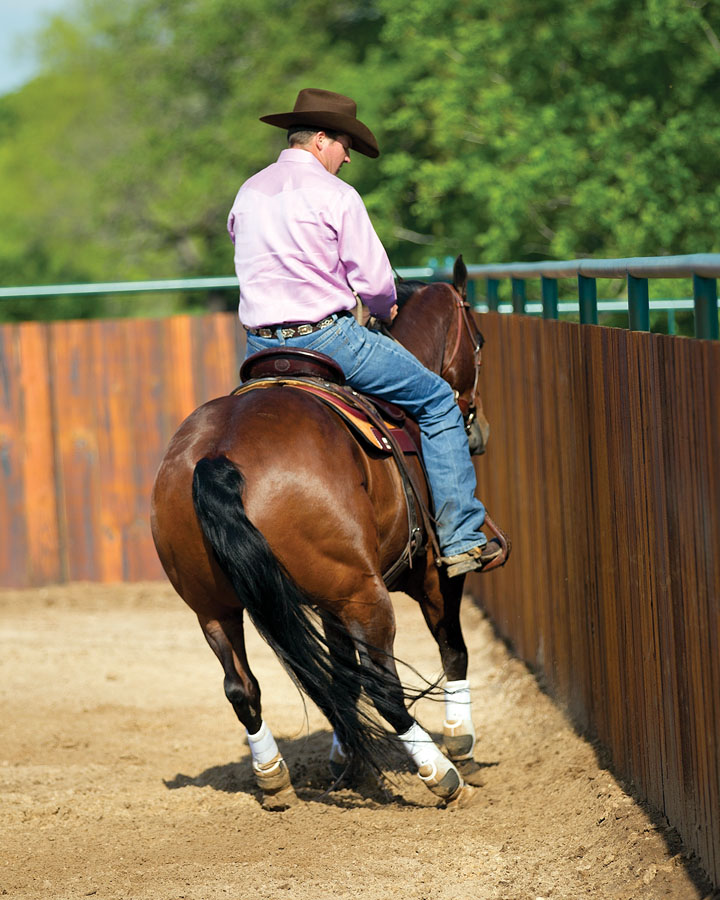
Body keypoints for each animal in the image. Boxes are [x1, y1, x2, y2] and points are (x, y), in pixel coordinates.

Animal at [150, 256, 503, 810]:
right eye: (480, 340)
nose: (480, 429)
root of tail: (217, 457)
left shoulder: (324, 603)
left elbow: (339, 672)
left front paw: (346, 756)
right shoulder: (433, 578)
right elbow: (453, 649)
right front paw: (461, 742)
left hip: (214, 607)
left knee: (242, 688)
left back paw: (274, 778)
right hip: (364, 595)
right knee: (384, 686)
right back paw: (442, 775)